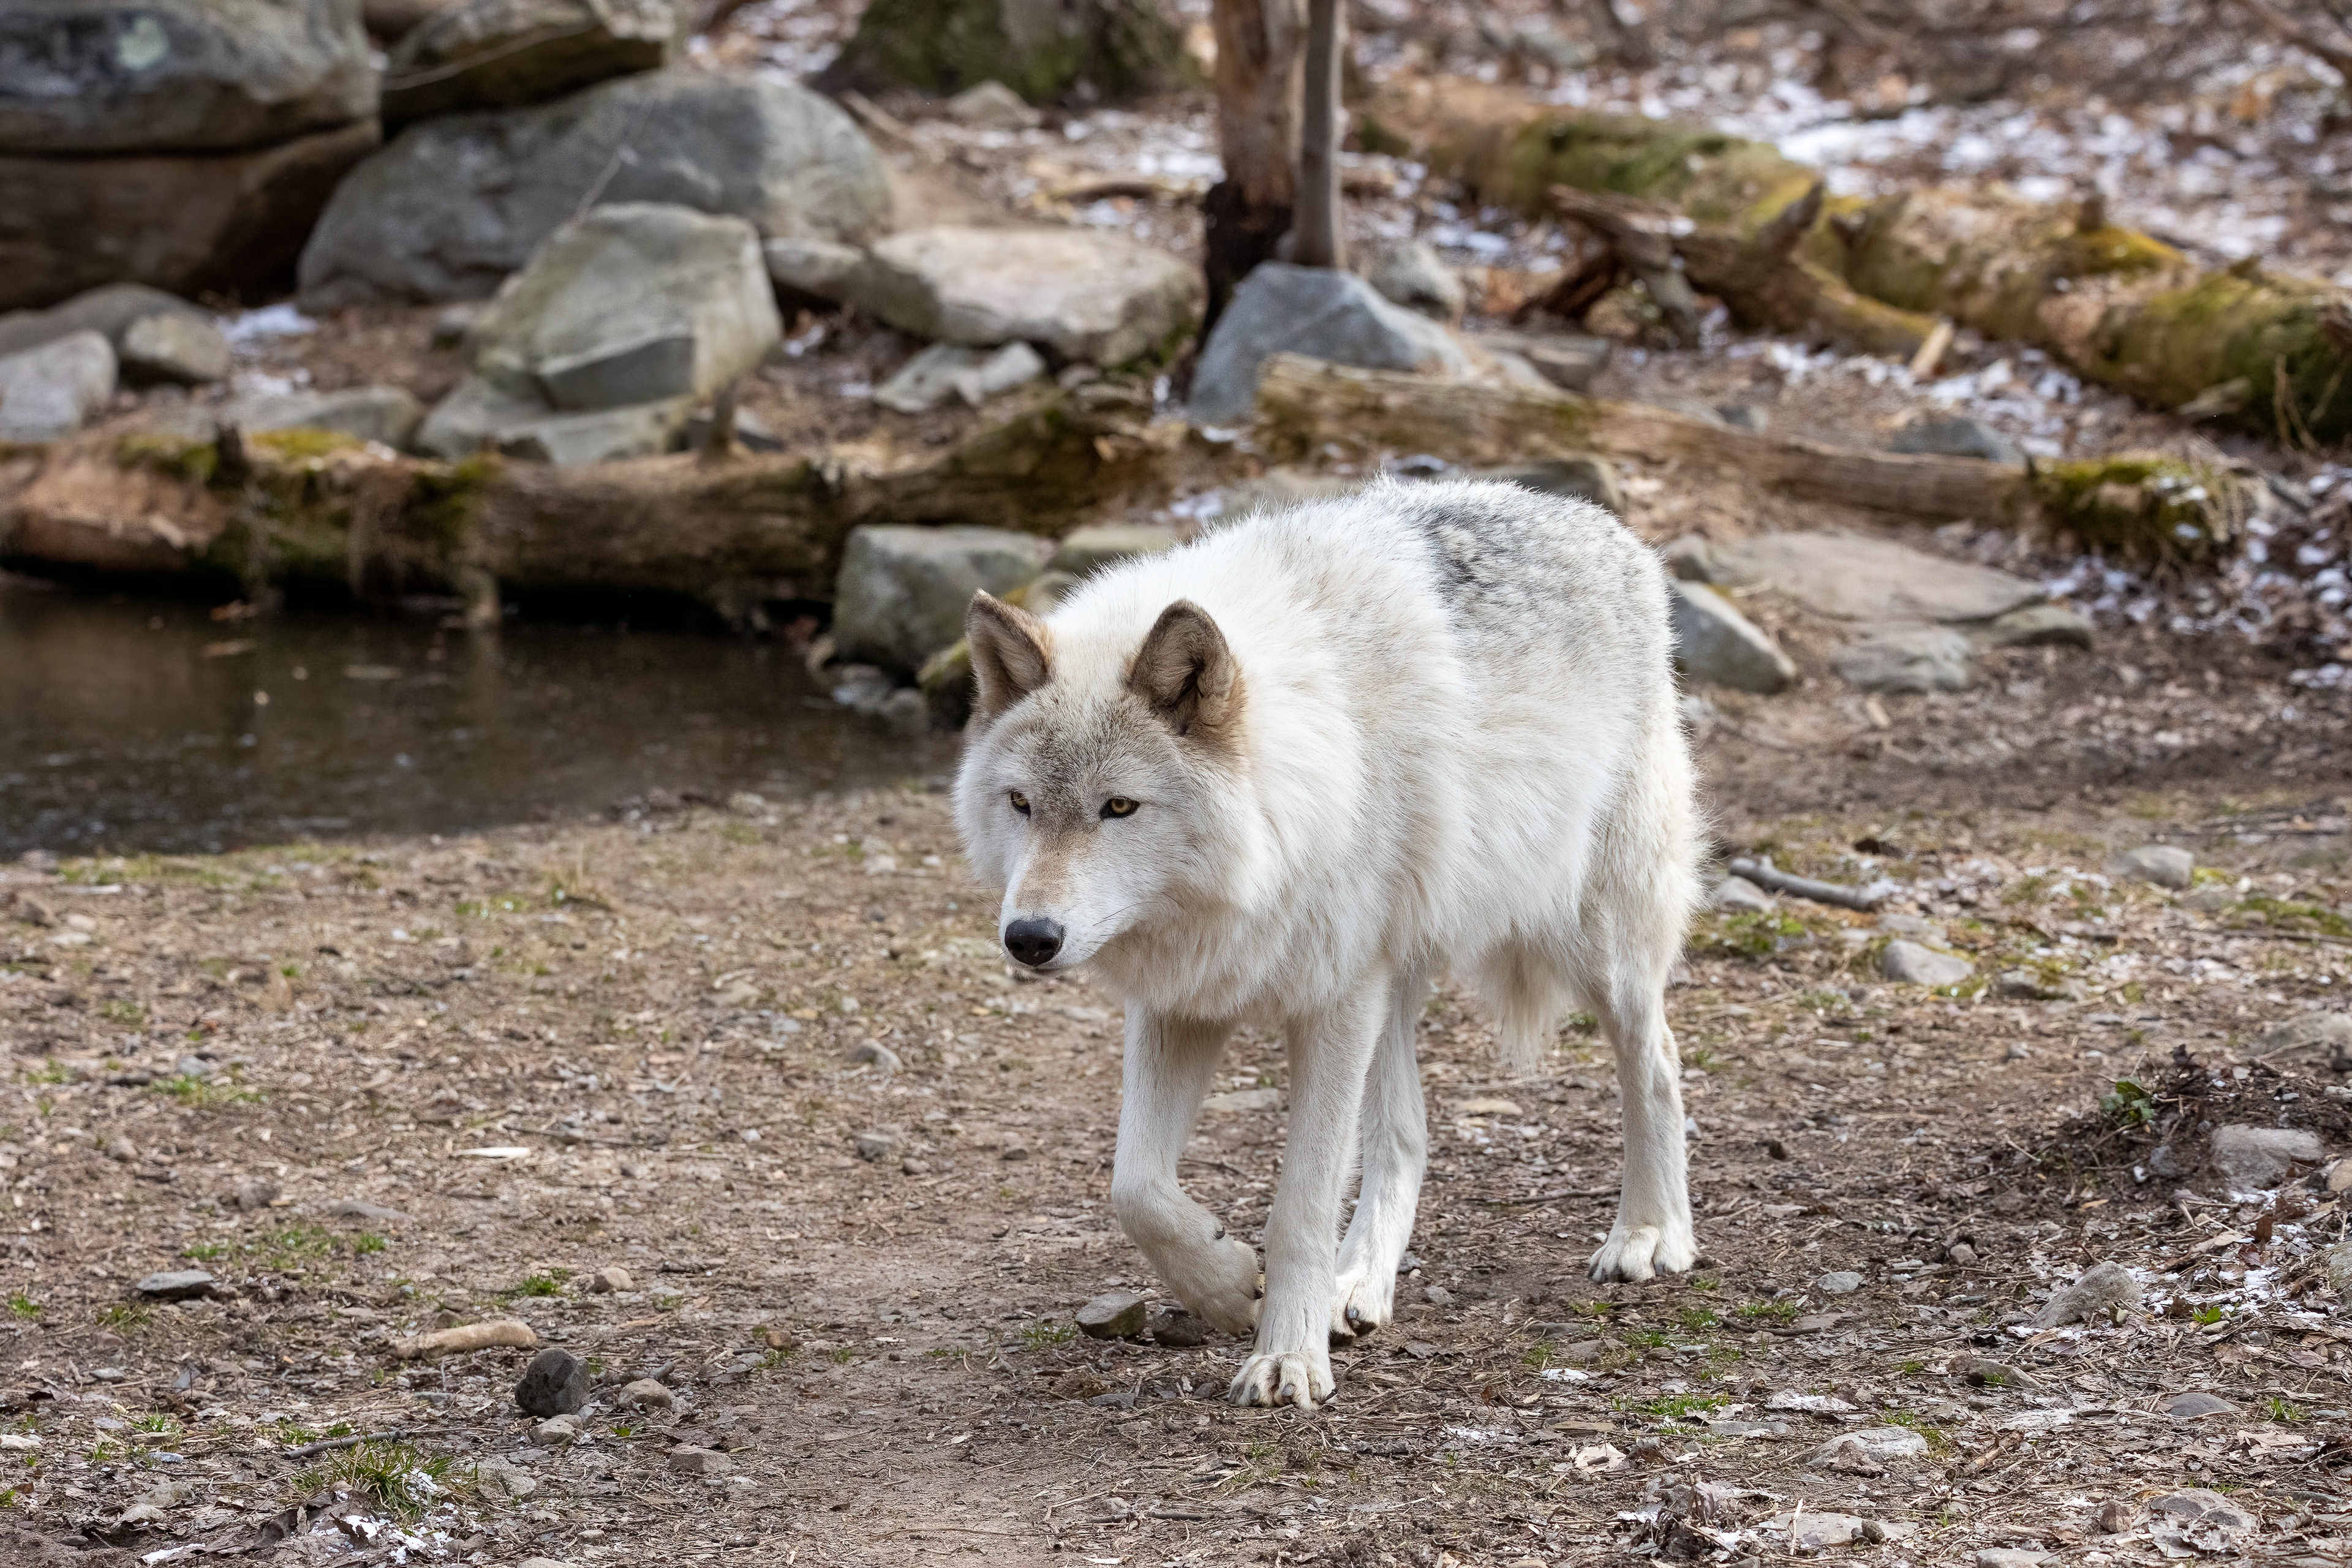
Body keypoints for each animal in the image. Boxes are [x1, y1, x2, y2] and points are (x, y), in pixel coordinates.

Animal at [952, 478, 1700, 1409]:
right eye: (1021, 803)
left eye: (1118, 807)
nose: (1030, 938)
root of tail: (1602, 523)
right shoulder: (1184, 1001)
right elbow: (1137, 1190)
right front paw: (1229, 1284)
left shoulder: (1334, 1000)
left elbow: (1300, 1206)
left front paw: (1287, 1358)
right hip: (1395, 983)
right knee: (1406, 1135)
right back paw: (1359, 1285)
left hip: (1594, 943)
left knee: (1658, 1060)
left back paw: (1650, 1233)